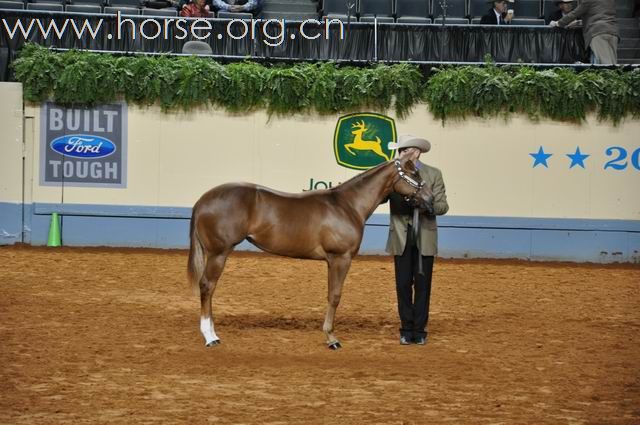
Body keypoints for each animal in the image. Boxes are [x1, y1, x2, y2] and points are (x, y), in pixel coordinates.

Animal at [188, 157, 432, 350]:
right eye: (413, 173)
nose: (430, 199)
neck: (348, 205)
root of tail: (202, 200)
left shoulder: (332, 261)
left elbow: (330, 295)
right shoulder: (340, 258)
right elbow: (335, 296)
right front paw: (331, 338)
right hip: (219, 253)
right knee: (207, 286)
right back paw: (210, 337)